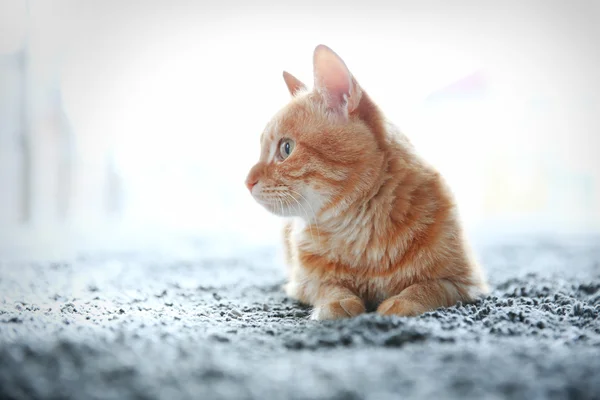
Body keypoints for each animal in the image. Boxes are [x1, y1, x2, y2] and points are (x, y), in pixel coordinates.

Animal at [244, 44, 488, 318]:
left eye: (286, 148)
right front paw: (338, 303)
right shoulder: (302, 283)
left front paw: (401, 303)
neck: (356, 230)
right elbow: (328, 287)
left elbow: (427, 287)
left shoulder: (464, 282)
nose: (247, 181)